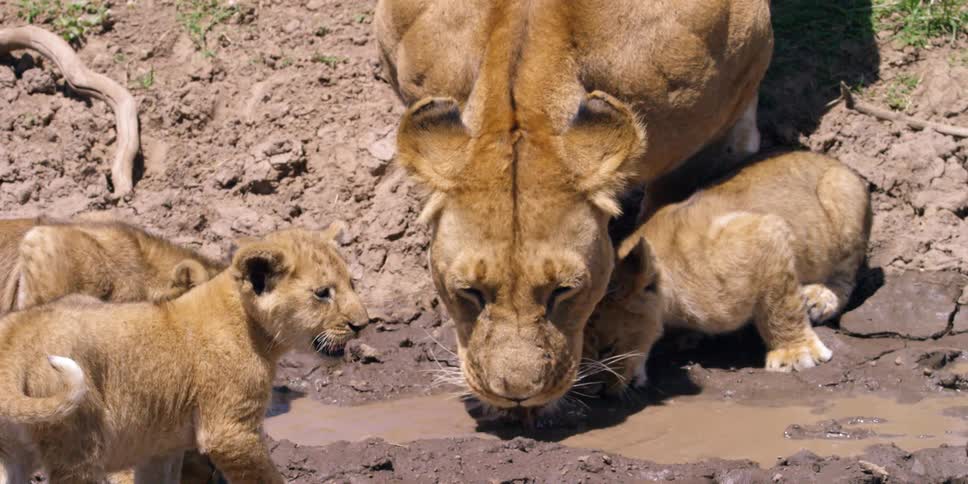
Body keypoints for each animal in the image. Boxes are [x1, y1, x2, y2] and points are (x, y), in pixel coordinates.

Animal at [584, 151, 872, 393]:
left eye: (606, 349)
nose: (599, 393)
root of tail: (832, 160)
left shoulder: (765, 232)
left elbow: (781, 306)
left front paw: (795, 353)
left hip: (842, 196)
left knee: (846, 275)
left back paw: (819, 298)